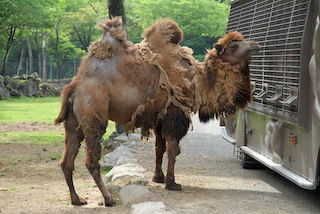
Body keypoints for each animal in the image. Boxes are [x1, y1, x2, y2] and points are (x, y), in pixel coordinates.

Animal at [55, 17, 260, 206]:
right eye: (234, 46)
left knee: (67, 160)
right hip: (93, 114)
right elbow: (172, 149)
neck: (199, 82)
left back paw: (77, 199)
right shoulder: (175, 113)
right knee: (91, 159)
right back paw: (108, 199)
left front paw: (158, 177)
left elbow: (159, 148)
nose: (256, 45)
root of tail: (74, 86)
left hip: (73, 122)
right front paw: (172, 183)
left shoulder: (160, 117)